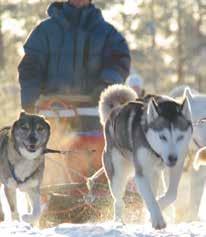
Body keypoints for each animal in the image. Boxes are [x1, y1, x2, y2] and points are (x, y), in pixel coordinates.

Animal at [93, 84, 193, 229]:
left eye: (180, 137)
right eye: (162, 137)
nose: (172, 158)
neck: (157, 154)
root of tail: (114, 111)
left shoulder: (177, 167)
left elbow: (171, 194)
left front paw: (156, 209)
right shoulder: (141, 174)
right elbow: (150, 199)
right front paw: (157, 219)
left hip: (155, 174)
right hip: (118, 175)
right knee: (118, 201)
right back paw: (118, 222)